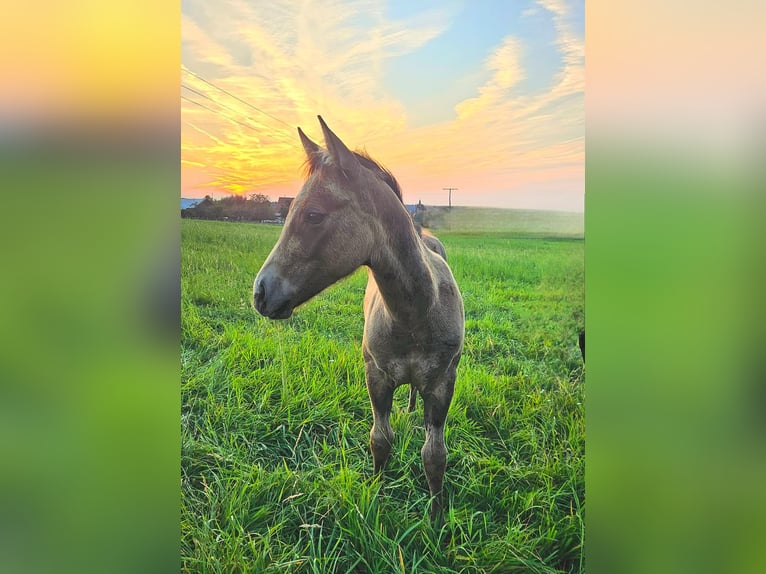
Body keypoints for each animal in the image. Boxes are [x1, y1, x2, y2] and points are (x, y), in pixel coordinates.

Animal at [255, 117, 464, 520]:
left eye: (314, 215)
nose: (260, 293)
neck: (415, 313)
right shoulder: (376, 376)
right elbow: (380, 440)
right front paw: (378, 495)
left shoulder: (443, 382)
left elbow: (434, 455)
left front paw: (435, 517)